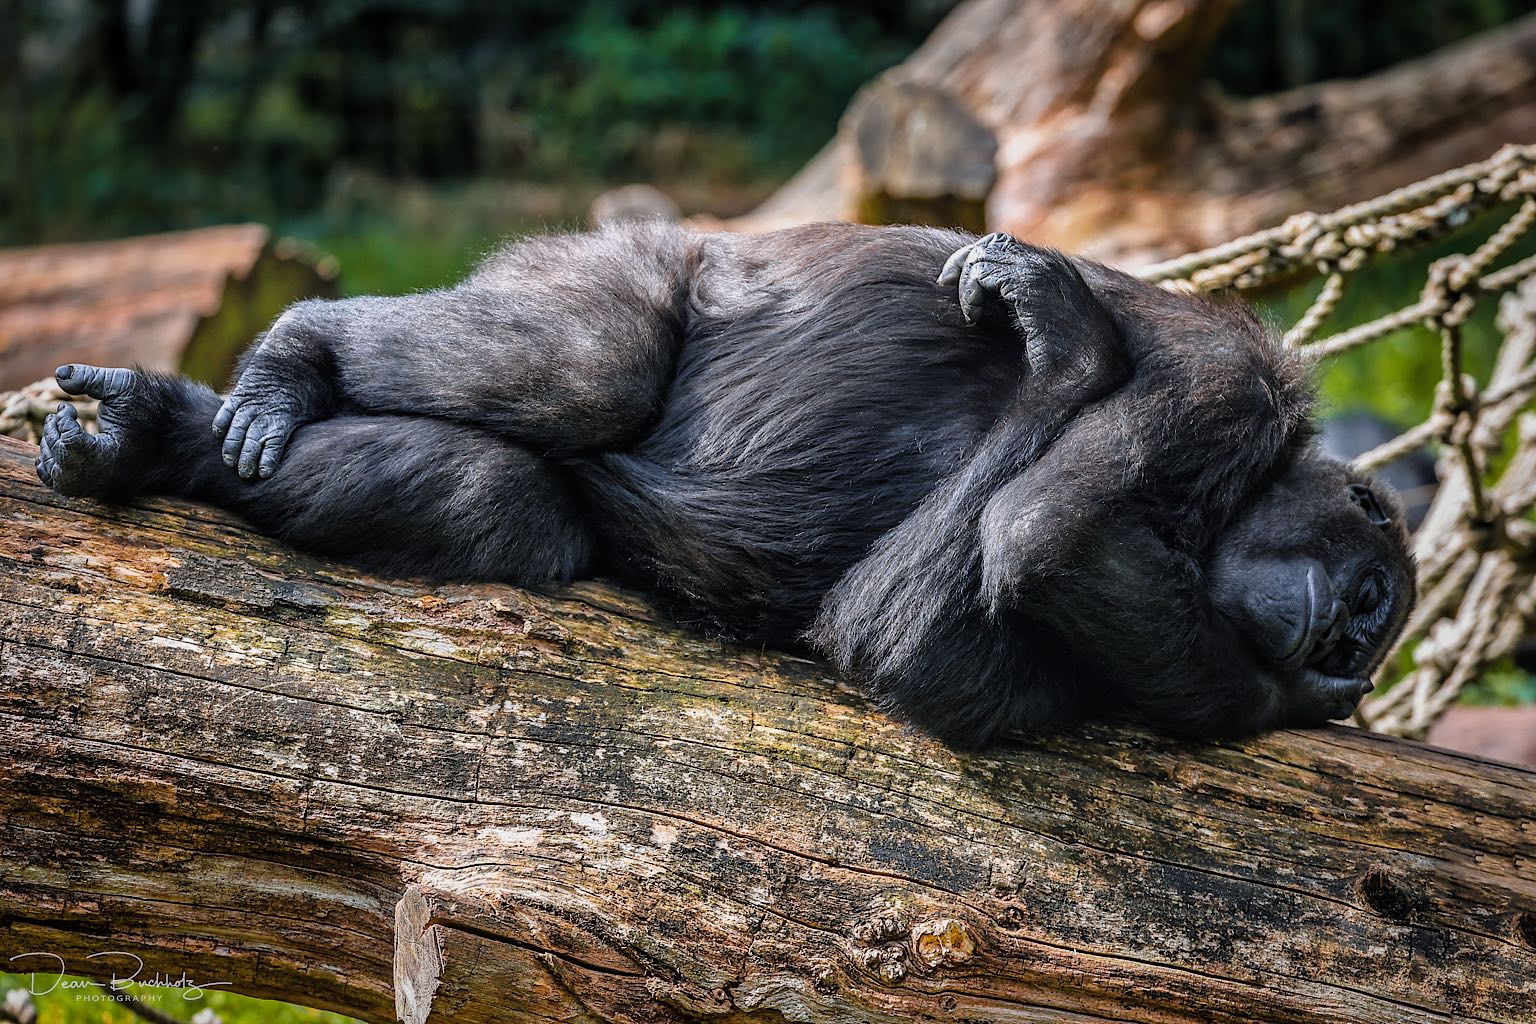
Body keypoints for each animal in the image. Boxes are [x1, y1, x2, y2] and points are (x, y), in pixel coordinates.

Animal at [29, 224, 1413, 749]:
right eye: (1368, 603)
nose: (1344, 652)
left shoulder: (1201, 686)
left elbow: (932, 640)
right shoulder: (1224, 381)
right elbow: (1051, 527)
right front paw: (1067, 341)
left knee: (499, 499)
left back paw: (162, 440)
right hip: (618, 262)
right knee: (578, 361)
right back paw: (291, 356)